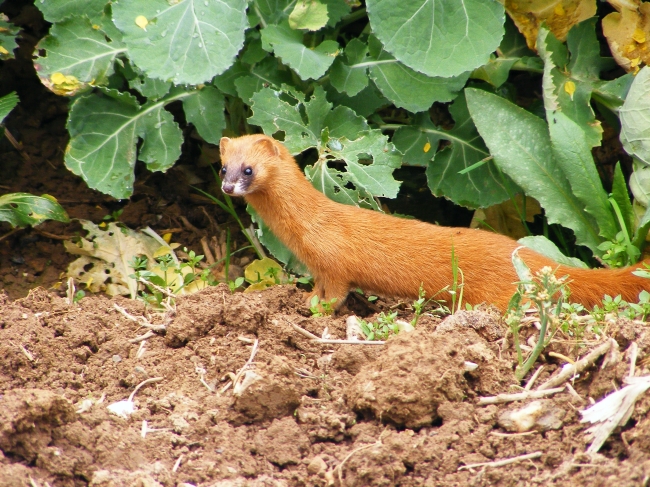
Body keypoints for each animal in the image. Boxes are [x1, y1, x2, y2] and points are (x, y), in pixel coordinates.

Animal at [219, 133, 648, 310]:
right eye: (223, 166)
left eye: (248, 169)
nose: (226, 186)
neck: (306, 229)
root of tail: (530, 256)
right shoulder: (318, 267)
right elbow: (321, 287)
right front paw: (309, 300)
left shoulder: (334, 262)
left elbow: (337, 292)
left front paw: (319, 310)